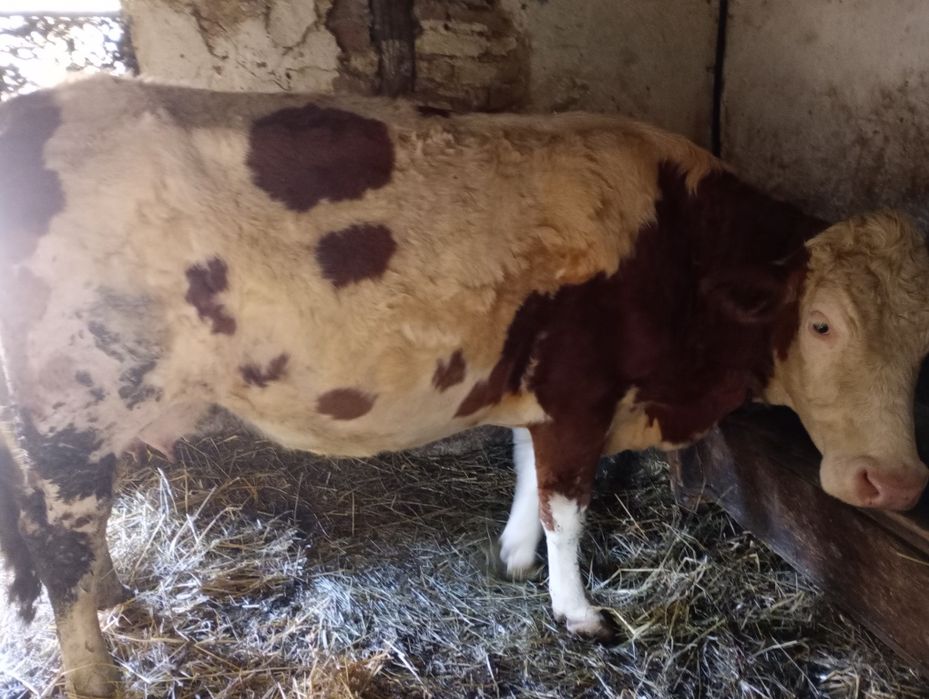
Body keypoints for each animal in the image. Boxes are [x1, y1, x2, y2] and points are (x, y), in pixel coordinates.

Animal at [1, 75, 928, 698]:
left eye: (922, 344)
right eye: (821, 323)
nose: (892, 481)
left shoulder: (539, 385)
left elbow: (522, 466)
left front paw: (514, 555)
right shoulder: (579, 392)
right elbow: (565, 504)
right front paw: (575, 609)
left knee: (77, 537)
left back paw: (116, 592)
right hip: (72, 411)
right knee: (58, 543)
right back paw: (97, 668)